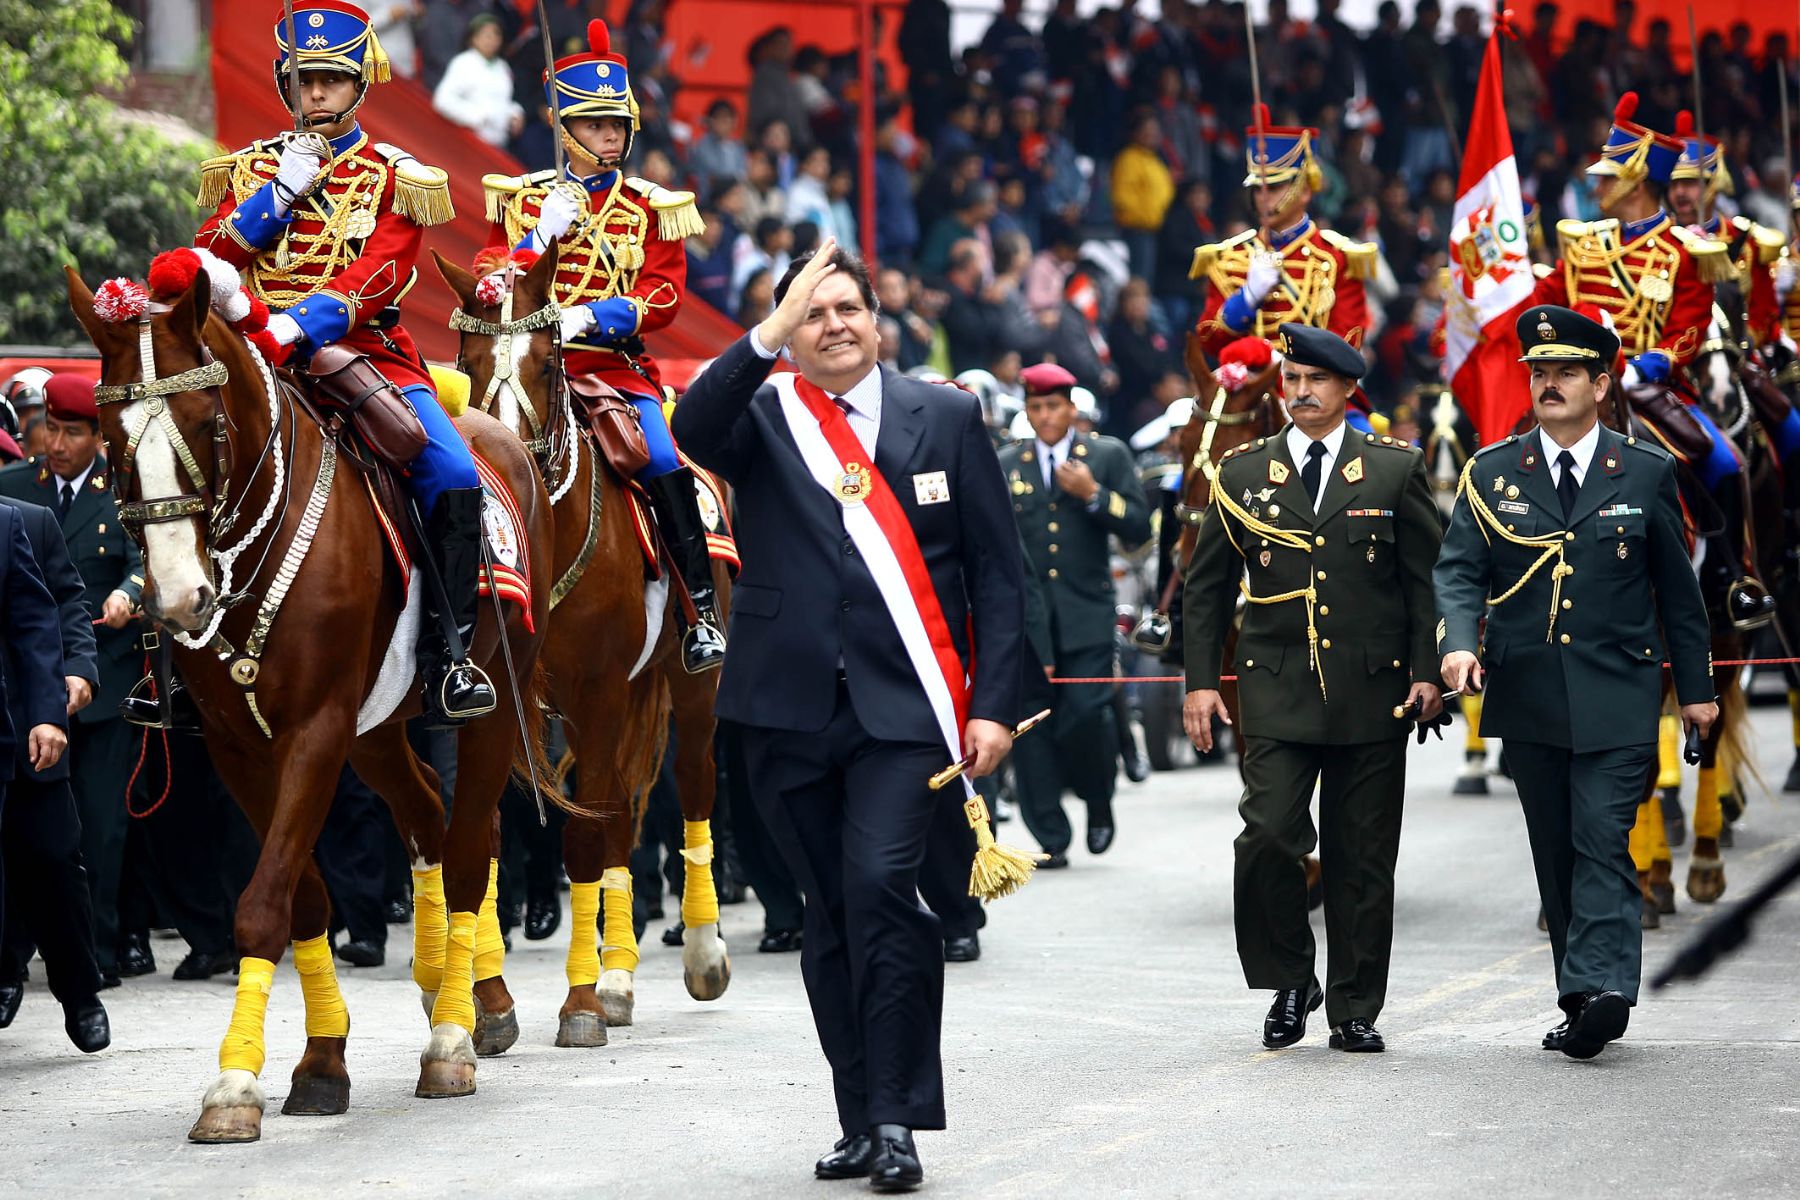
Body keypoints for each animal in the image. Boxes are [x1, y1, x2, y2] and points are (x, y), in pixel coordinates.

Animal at [68, 269, 547, 1144]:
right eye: (111, 440)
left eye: (208, 423)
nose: (181, 600)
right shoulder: (241, 746)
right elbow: (300, 900)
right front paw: (322, 1061)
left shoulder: (315, 732)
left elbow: (260, 907)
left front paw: (233, 1085)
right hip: (377, 731)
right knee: (428, 821)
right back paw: (451, 986)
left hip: (490, 707)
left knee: (469, 847)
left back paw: (454, 1035)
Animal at [432, 239, 727, 1043]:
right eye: (467, 359)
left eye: (547, 360)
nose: (505, 454)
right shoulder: (507, 699)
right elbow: (490, 838)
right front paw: (488, 1005)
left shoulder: (596, 694)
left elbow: (582, 840)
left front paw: (582, 1003)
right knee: (622, 809)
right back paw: (621, 976)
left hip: (690, 688)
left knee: (691, 785)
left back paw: (699, 953)